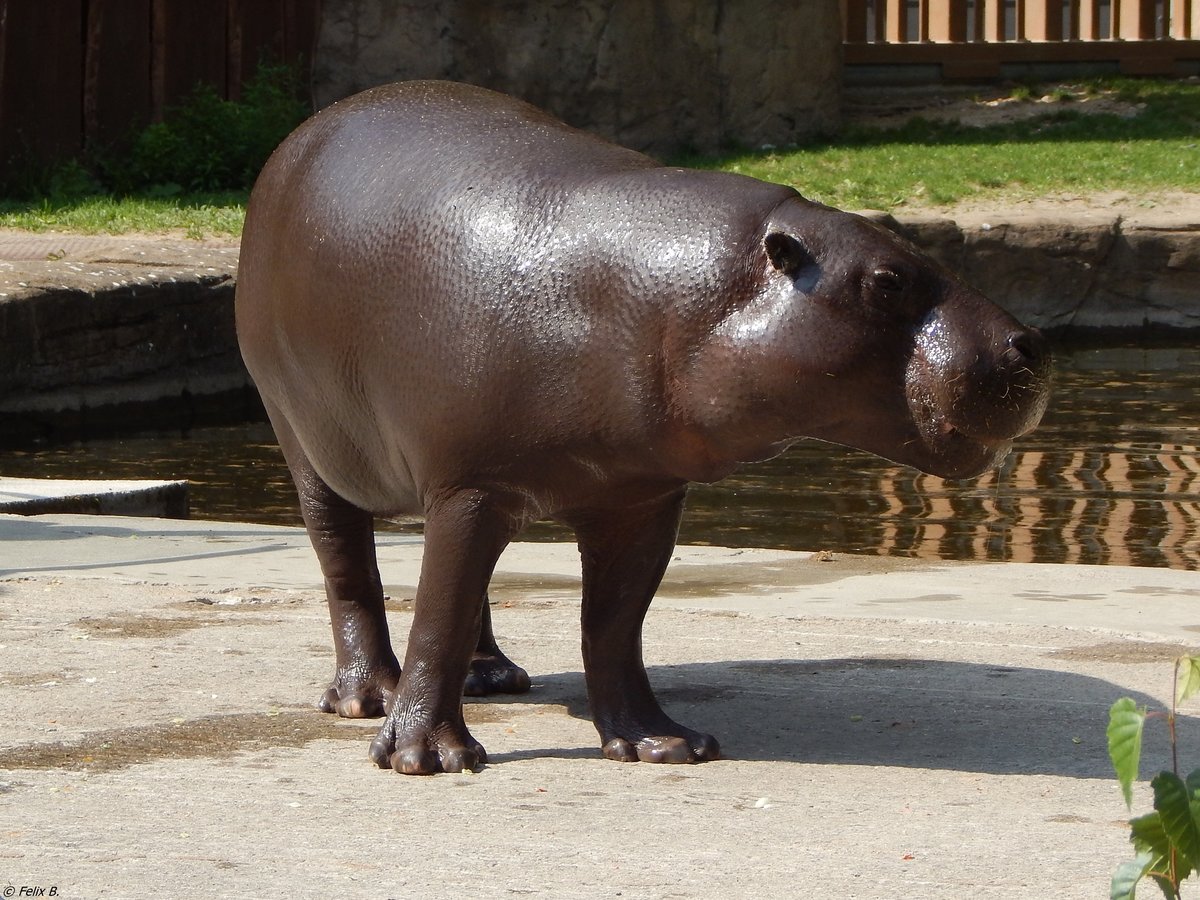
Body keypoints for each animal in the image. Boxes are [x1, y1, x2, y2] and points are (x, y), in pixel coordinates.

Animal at [234, 81, 1051, 777]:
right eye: (885, 281)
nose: (1031, 344)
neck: (685, 296)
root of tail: (299, 137)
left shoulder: (638, 497)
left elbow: (614, 623)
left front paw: (665, 745)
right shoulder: (473, 483)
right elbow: (437, 613)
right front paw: (427, 758)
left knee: (467, 583)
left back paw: (494, 677)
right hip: (305, 442)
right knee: (350, 569)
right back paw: (367, 698)